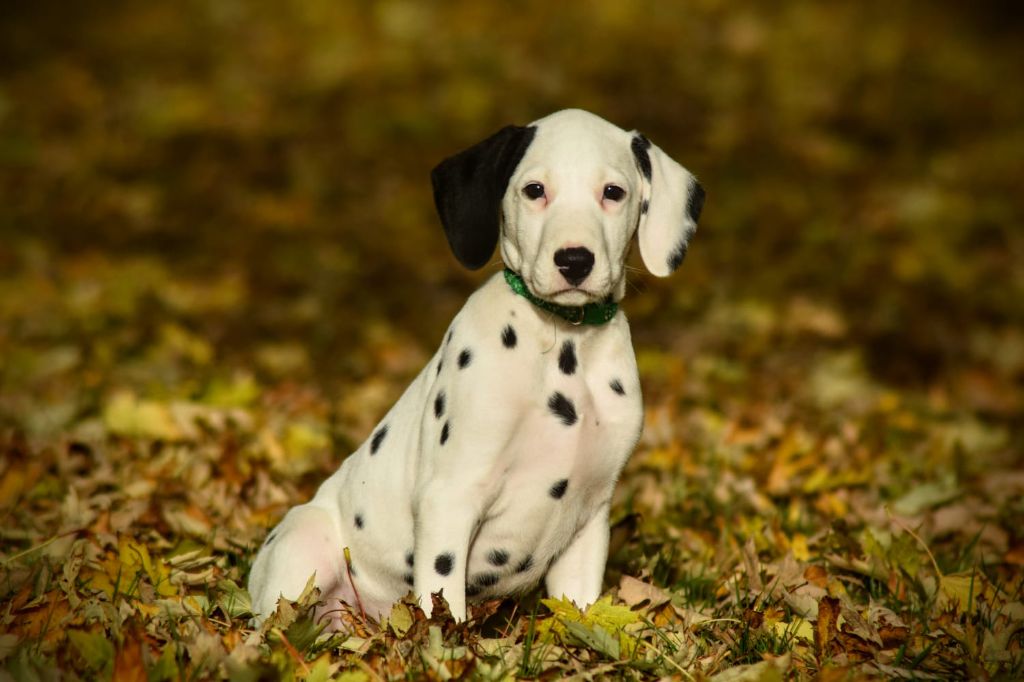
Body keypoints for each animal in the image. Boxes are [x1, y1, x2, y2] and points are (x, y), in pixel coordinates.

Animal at [247, 109, 704, 622]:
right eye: (534, 190)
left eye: (613, 192)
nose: (574, 260)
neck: (561, 346)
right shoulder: (450, 498)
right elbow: (442, 604)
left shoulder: (589, 519)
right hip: (303, 544)